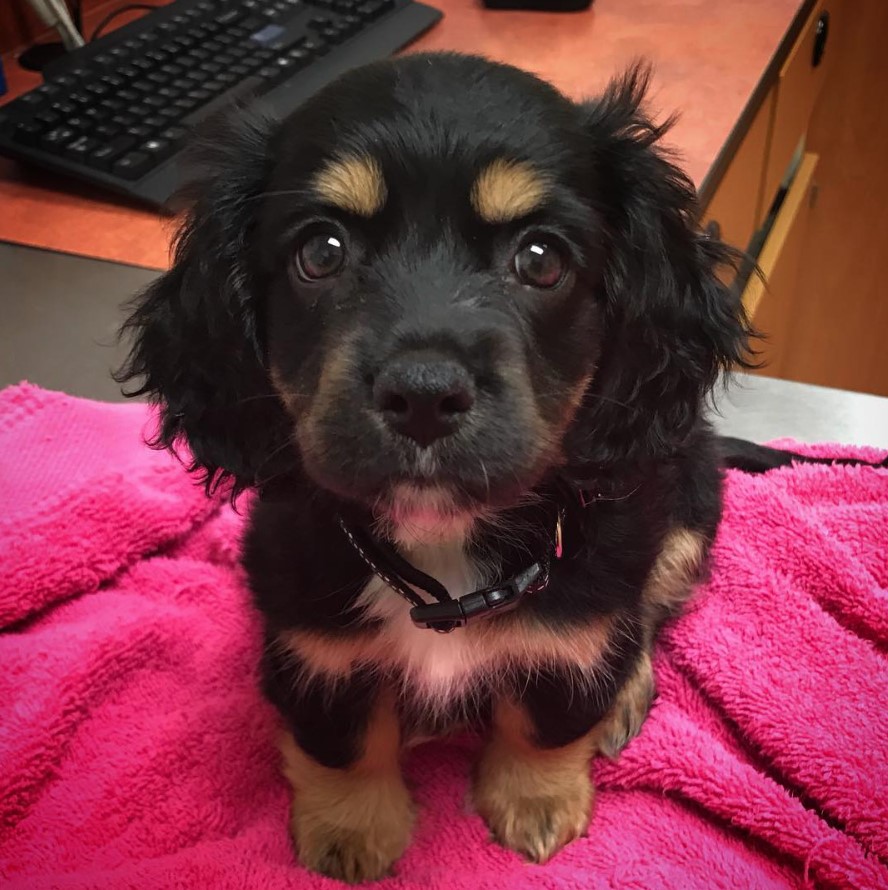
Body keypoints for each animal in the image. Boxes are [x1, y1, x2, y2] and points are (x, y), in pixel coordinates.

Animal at [116, 55, 756, 880]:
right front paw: (351, 833)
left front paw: (537, 801)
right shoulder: (309, 640)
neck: (442, 544)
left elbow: (549, 708)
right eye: (321, 252)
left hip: (684, 511)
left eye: (541, 259)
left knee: (647, 614)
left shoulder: (581, 607)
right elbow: (343, 739)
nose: (423, 395)